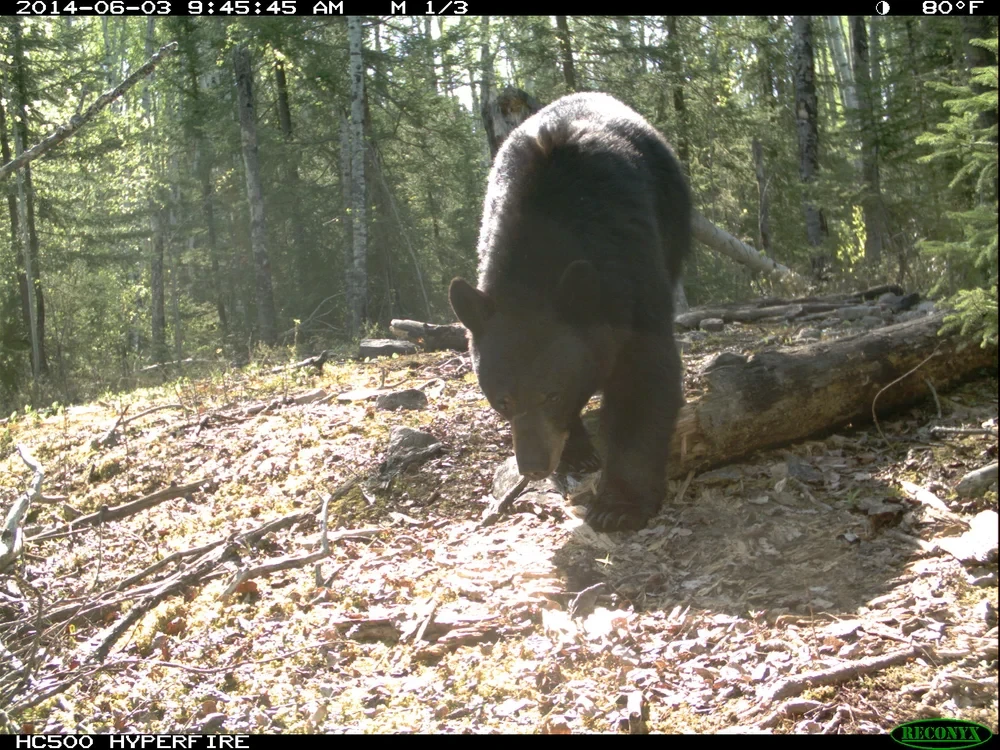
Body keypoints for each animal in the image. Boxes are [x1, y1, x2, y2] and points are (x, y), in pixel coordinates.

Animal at [449, 92, 691, 532]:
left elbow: (645, 374)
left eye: (552, 394)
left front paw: (619, 503)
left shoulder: (632, 265)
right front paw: (576, 451)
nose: (533, 467)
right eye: (501, 401)